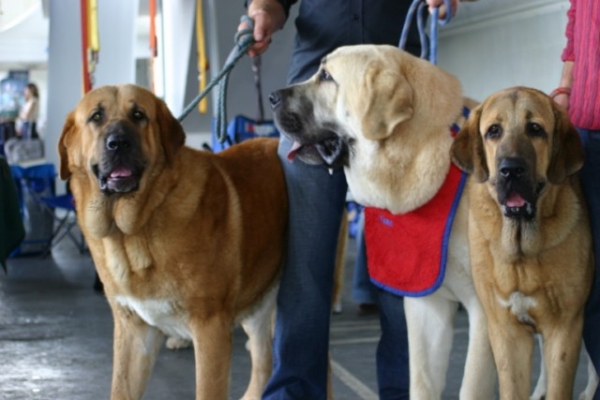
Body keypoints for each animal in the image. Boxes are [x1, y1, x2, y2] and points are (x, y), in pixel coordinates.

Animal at [58, 85, 288, 400]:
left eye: (139, 115)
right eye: (96, 117)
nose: (119, 143)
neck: (136, 228)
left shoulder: (211, 330)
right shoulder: (134, 331)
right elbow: (121, 389)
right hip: (258, 306)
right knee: (264, 365)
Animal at [270, 43, 494, 396]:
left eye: (326, 77)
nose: (271, 97)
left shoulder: (489, 314)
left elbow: (472, 388)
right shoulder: (427, 308)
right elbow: (422, 382)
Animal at [450, 86, 596, 398]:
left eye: (535, 129)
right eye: (493, 130)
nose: (511, 170)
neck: (522, 248)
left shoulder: (565, 328)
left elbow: (559, 386)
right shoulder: (506, 332)